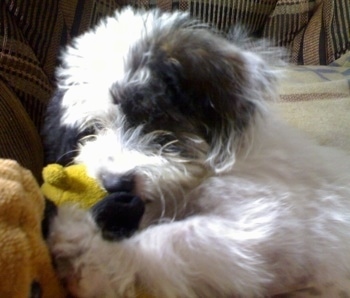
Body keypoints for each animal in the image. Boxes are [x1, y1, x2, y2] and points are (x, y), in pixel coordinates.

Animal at [43, 7, 350, 298]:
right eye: (93, 129)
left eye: (154, 117)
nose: (114, 184)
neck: (206, 172)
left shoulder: (264, 221)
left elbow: (170, 238)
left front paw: (92, 256)